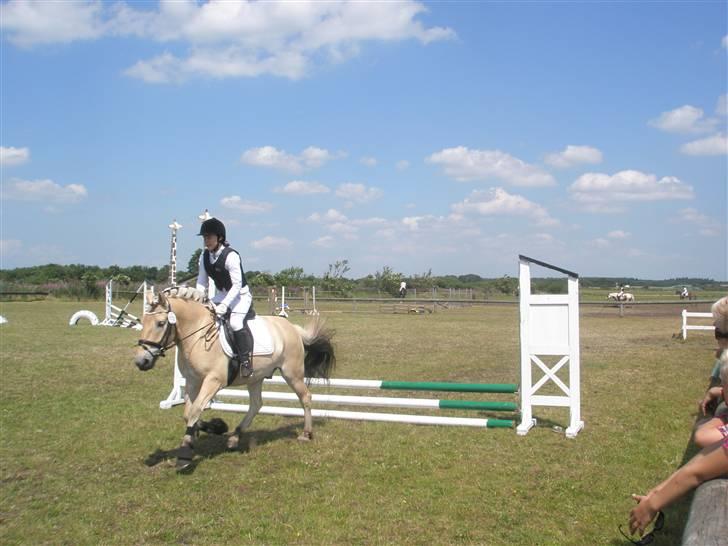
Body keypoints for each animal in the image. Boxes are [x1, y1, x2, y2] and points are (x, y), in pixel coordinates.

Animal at [134, 286, 336, 470]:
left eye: (161, 323)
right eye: (143, 321)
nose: (141, 361)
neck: (198, 336)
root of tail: (292, 328)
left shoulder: (213, 381)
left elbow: (195, 410)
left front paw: (185, 455)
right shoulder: (192, 381)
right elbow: (189, 413)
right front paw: (215, 427)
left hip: (292, 373)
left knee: (305, 397)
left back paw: (306, 433)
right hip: (256, 377)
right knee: (256, 404)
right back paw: (235, 437)